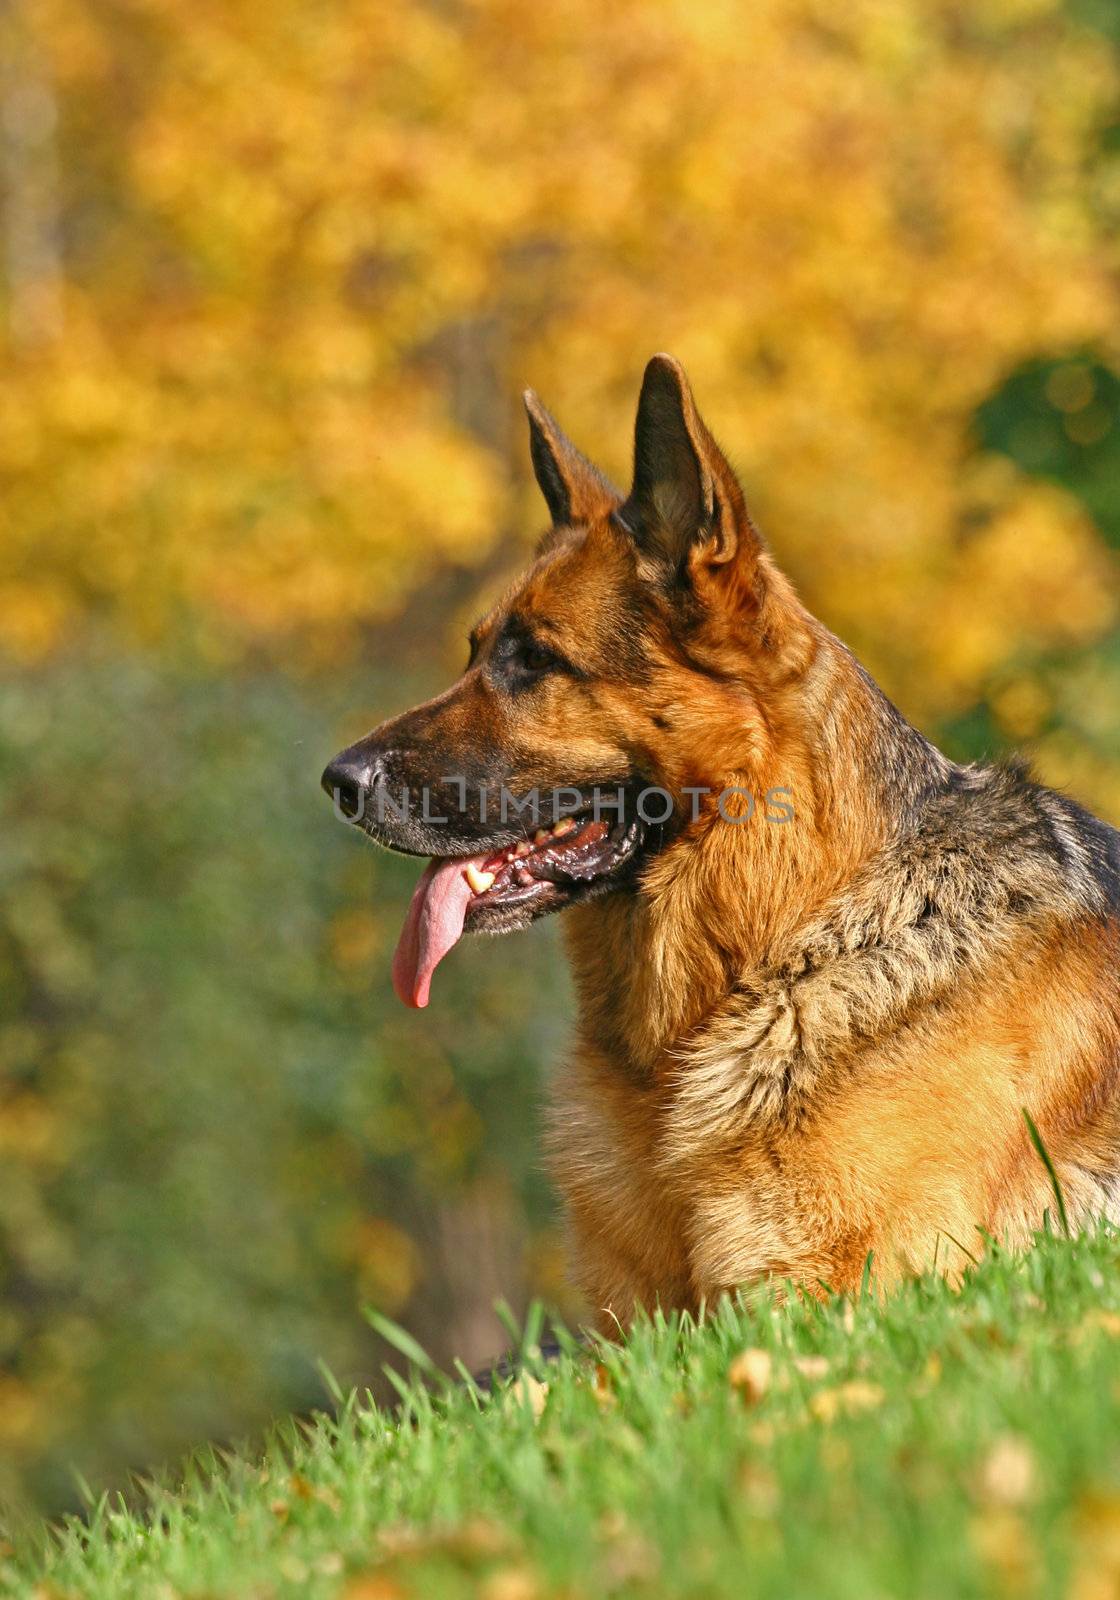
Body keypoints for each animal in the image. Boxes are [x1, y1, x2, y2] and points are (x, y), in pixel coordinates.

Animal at [323, 360, 1120, 1324]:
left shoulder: (835, 1289)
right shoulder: (628, 1322)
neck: (788, 945)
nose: (337, 780)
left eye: (534, 661)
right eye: (474, 652)